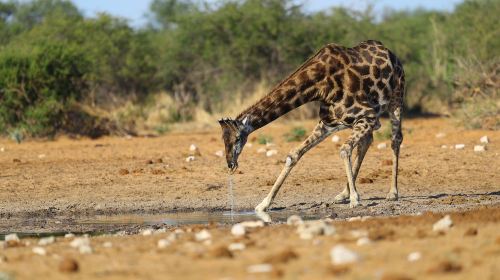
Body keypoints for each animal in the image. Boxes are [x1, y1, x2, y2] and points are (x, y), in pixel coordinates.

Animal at [219, 39, 406, 210]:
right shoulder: (329, 123)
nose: (230, 164)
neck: (318, 85)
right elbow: (294, 154)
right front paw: (264, 203)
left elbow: (344, 149)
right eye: (223, 139)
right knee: (366, 142)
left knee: (395, 139)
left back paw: (392, 193)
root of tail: (390, 53)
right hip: (355, 122)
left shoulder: (368, 115)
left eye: (237, 138)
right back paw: (343, 194)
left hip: (395, 97)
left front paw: (355, 198)